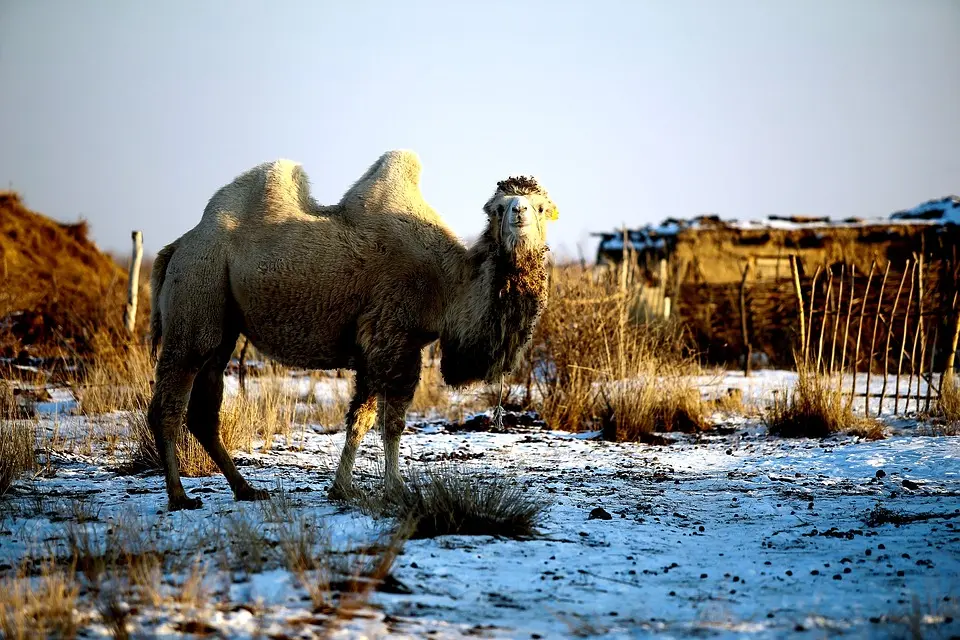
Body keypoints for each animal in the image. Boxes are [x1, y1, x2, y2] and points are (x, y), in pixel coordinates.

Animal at [146, 149, 560, 510]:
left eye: (541, 207)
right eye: (498, 207)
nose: (519, 212)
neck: (448, 285)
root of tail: (177, 246)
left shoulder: (377, 349)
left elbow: (363, 419)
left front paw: (346, 488)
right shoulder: (394, 339)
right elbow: (389, 422)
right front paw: (391, 489)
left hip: (222, 323)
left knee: (204, 410)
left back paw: (246, 490)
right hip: (197, 291)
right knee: (170, 401)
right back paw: (179, 497)